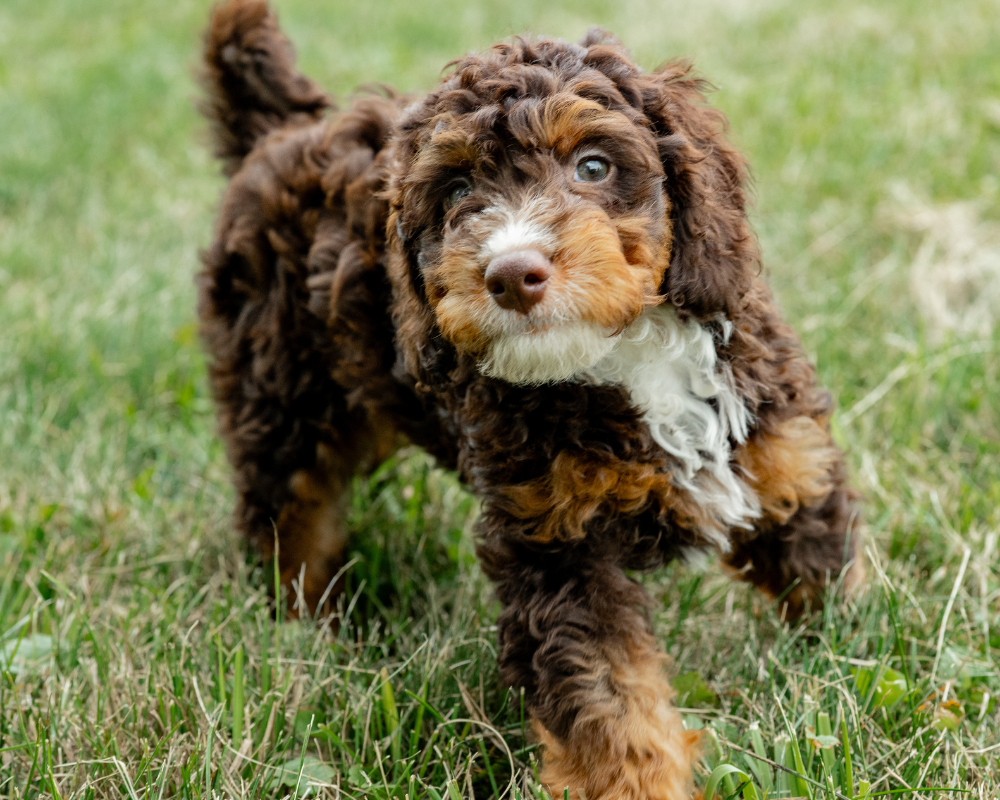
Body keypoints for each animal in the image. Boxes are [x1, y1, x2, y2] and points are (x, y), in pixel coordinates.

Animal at [199, 3, 864, 796]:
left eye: (593, 165)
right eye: (457, 191)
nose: (513, 272)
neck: (626, 357)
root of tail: (280, 131)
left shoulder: (779, 448)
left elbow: (819, 565)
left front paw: (851, 647)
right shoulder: (555, 546)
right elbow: (606, 693)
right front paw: (634, 784)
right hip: (280, 392)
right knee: (289, 514)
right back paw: (306, 627)